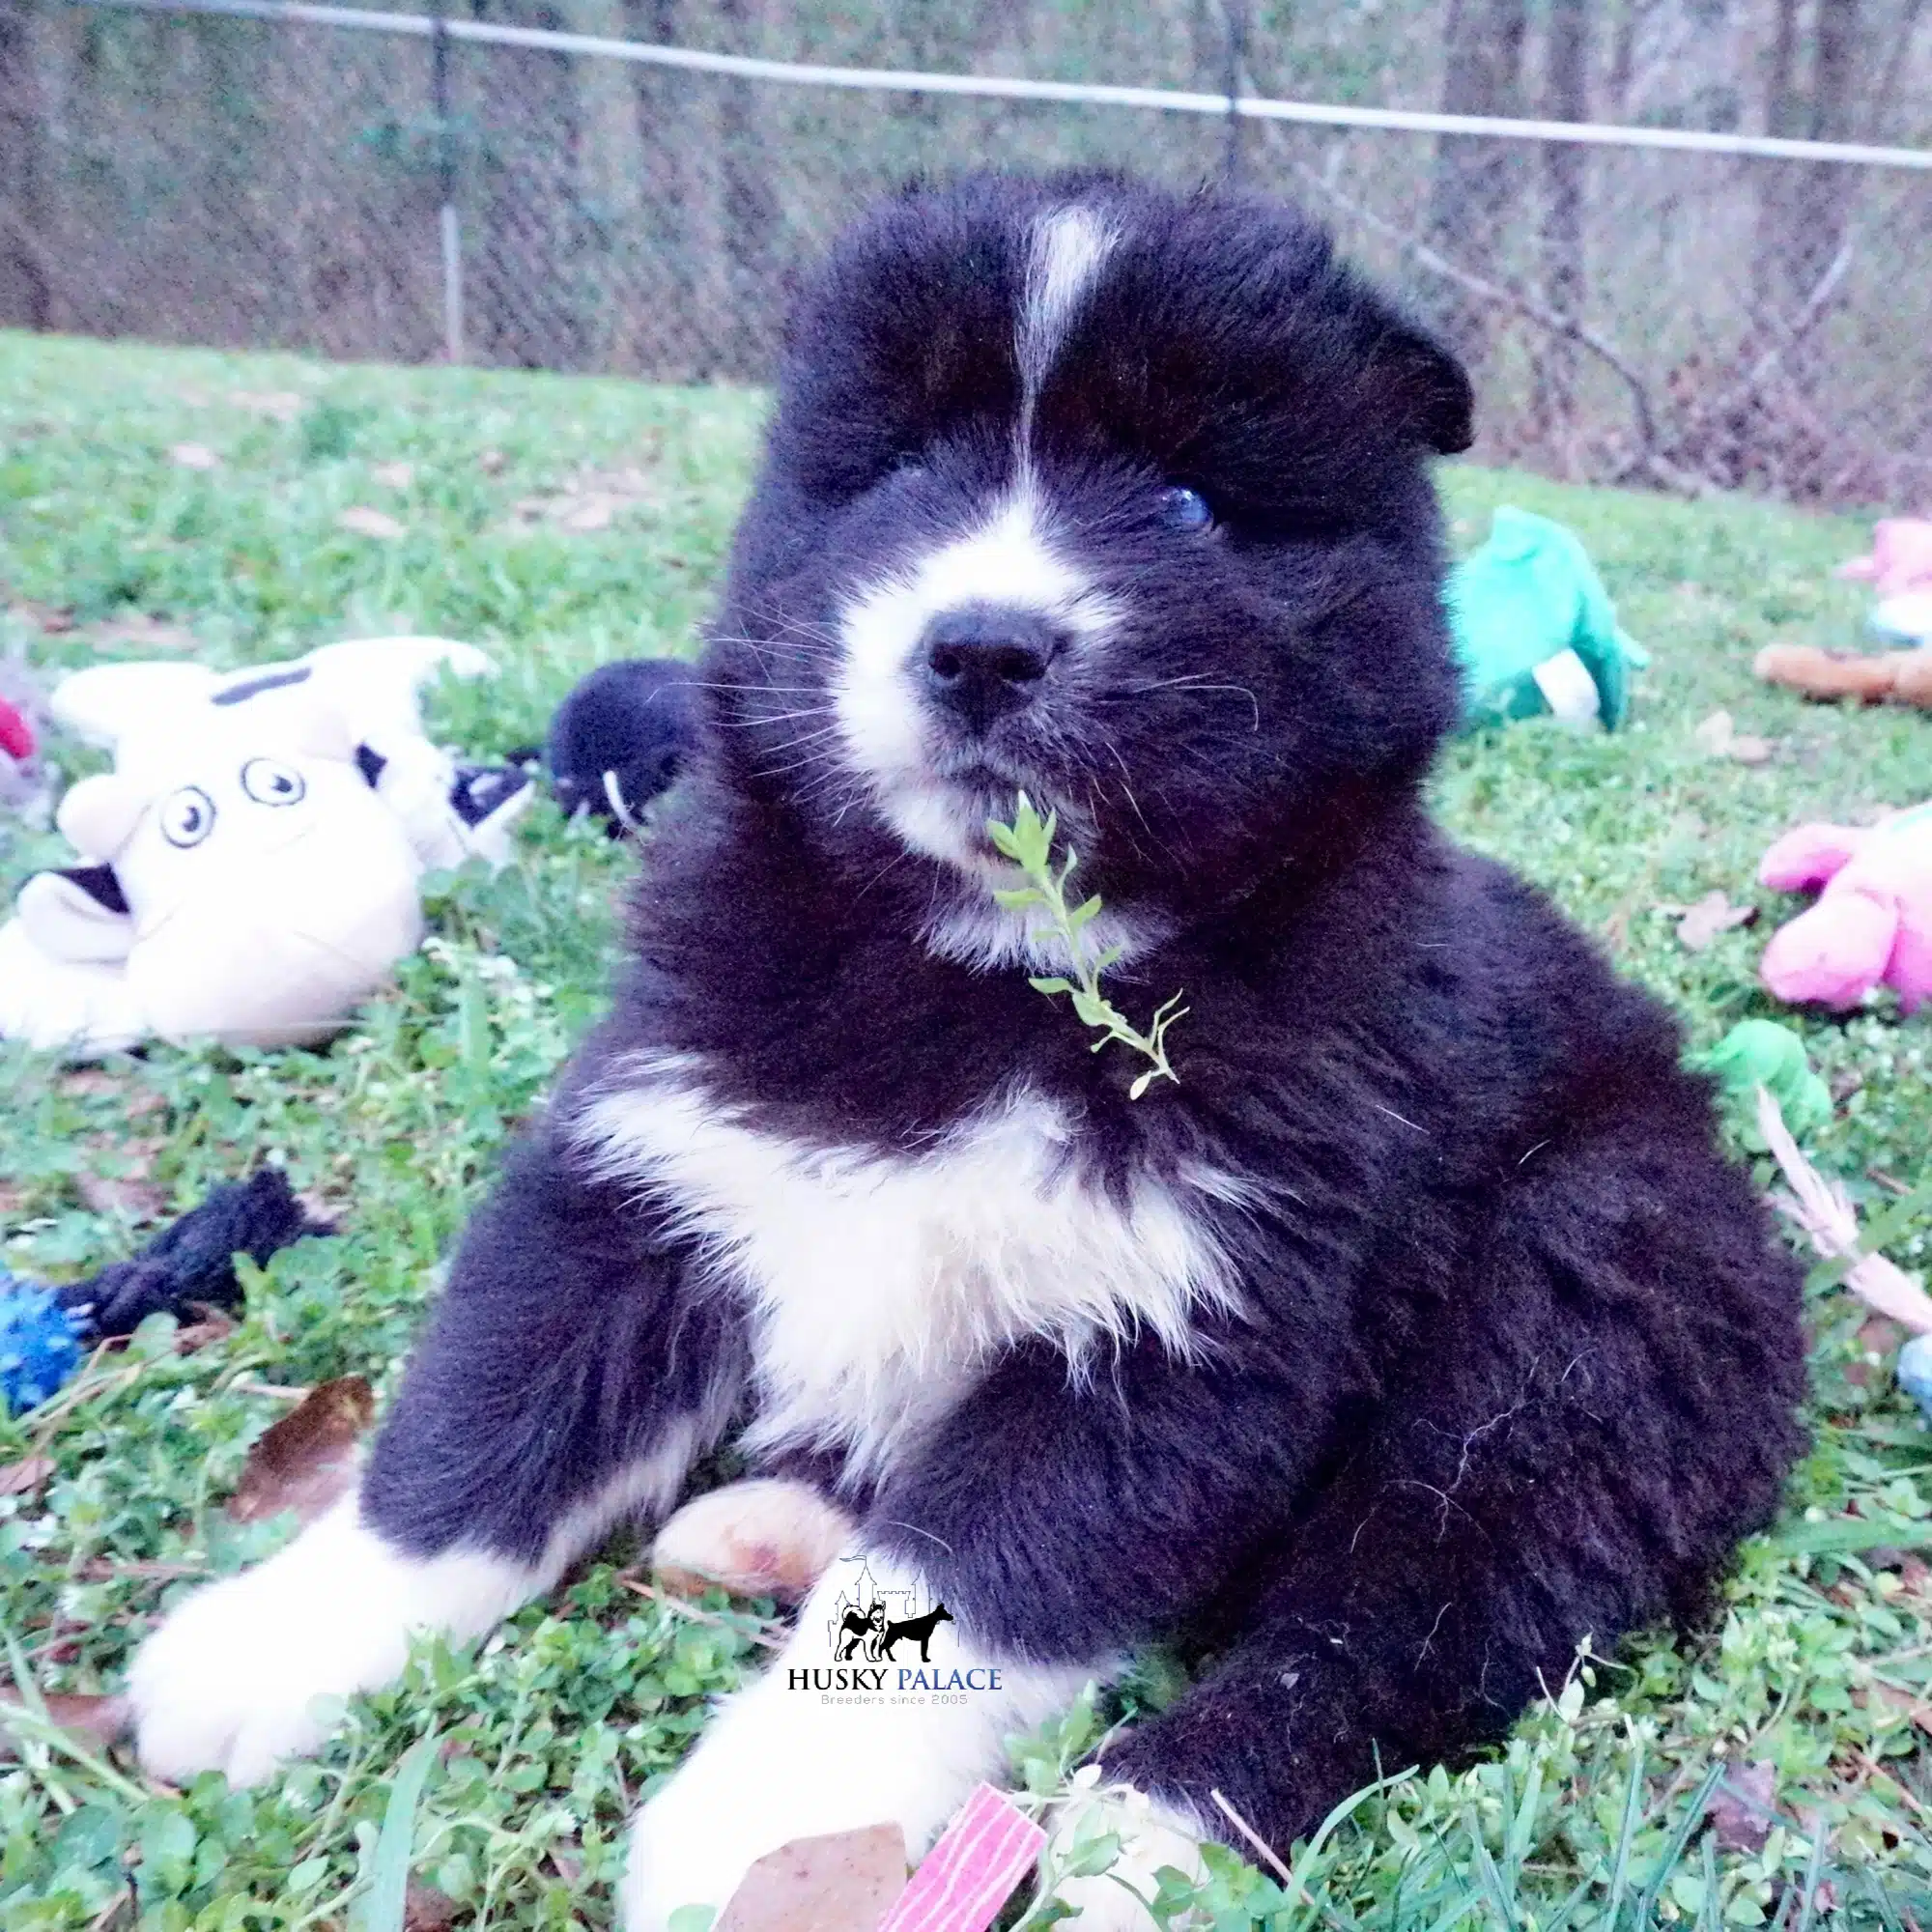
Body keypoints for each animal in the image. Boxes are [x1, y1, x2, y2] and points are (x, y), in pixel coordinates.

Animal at [128, 174, 1801, 1924]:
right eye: (900, 475)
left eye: (1190, 506)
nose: (984, 646)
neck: (988, 978)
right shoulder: (649, 1160)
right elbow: (478, 1423)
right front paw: (283, 1643)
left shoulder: (1187, 1328)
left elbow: (967, 1586)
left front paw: (777, 1824)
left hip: (1572, 1313)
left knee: (1400, 1615)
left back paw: (1156, 1829)